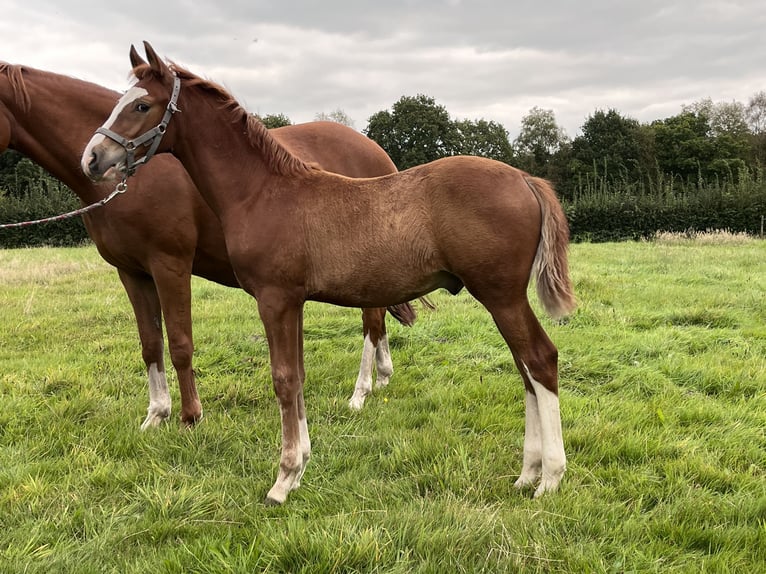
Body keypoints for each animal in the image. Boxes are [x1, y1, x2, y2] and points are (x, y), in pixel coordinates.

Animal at [0, 60, 414, 430]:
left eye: (141, 107)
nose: (92, 159)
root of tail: (377, 152)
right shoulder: (131, 272)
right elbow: (150, 343)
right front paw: (156, 415)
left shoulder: (169, 264)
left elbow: (180, 342)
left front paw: (190, 416)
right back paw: (381, 376)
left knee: (371, 320)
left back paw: (360, 392)